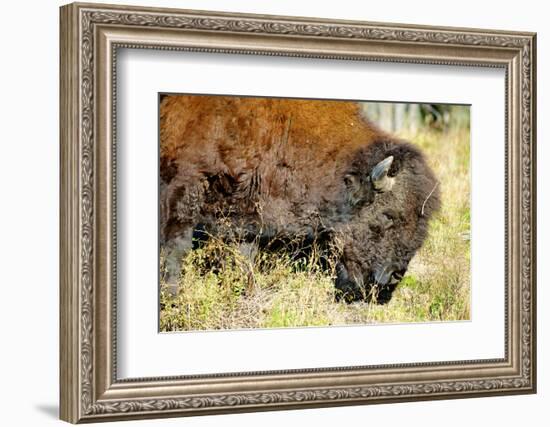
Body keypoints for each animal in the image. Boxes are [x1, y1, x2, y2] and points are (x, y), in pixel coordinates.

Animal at [161, 95, 444, 306]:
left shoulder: (244, 213)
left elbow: (243, 257)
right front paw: (171, 296)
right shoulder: (182, 187)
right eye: (388, 216)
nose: (394, 276)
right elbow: (174, 247)